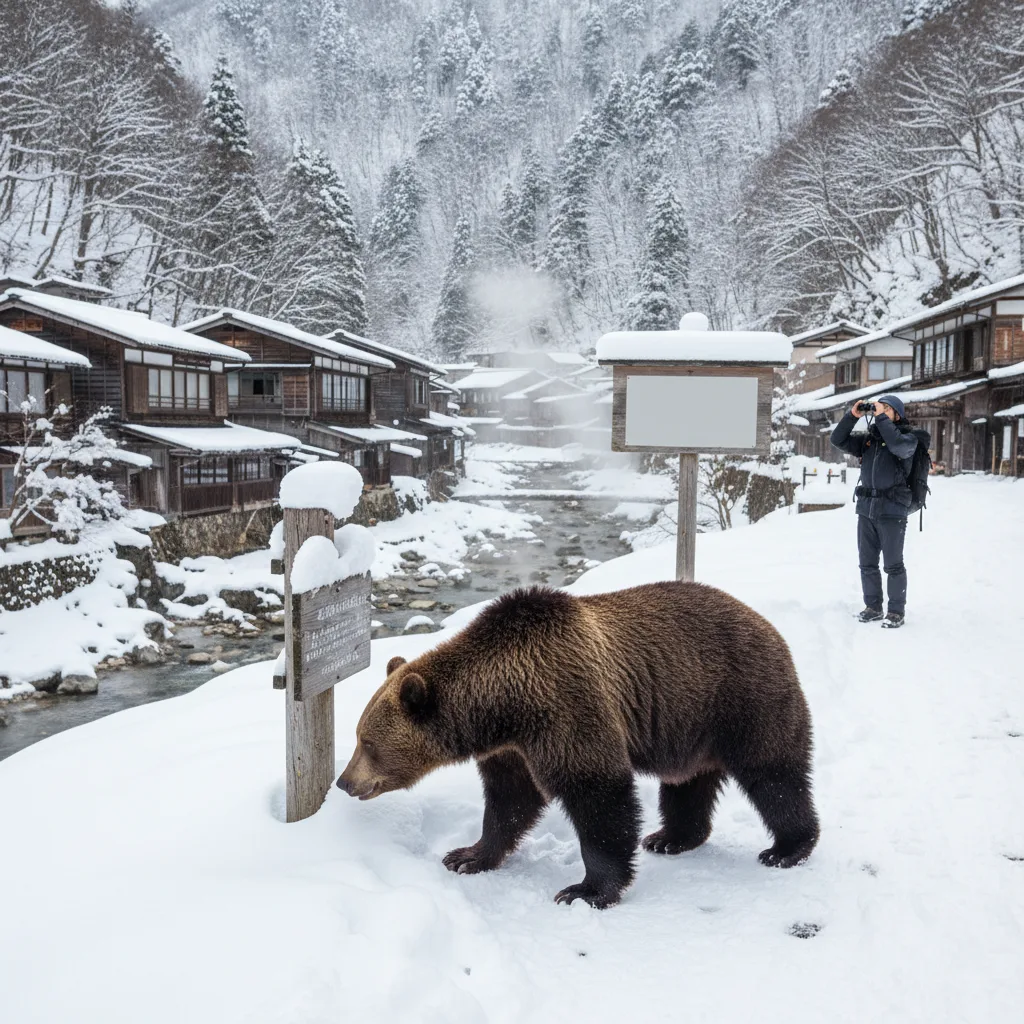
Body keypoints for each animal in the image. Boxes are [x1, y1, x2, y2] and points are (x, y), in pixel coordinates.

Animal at [337, 582, 819, 909]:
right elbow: (509, 801)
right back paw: (670, 838)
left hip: (742, 695)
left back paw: (786, 848)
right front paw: (466, 856)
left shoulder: (566, 707)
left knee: (774, 774)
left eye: (366, 741)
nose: (343, 782)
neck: (503, 706)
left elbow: (597, 795)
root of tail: (766, 623)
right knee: (687, 782)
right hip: (690, 722)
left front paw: (584, 890)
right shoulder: (513, 748)